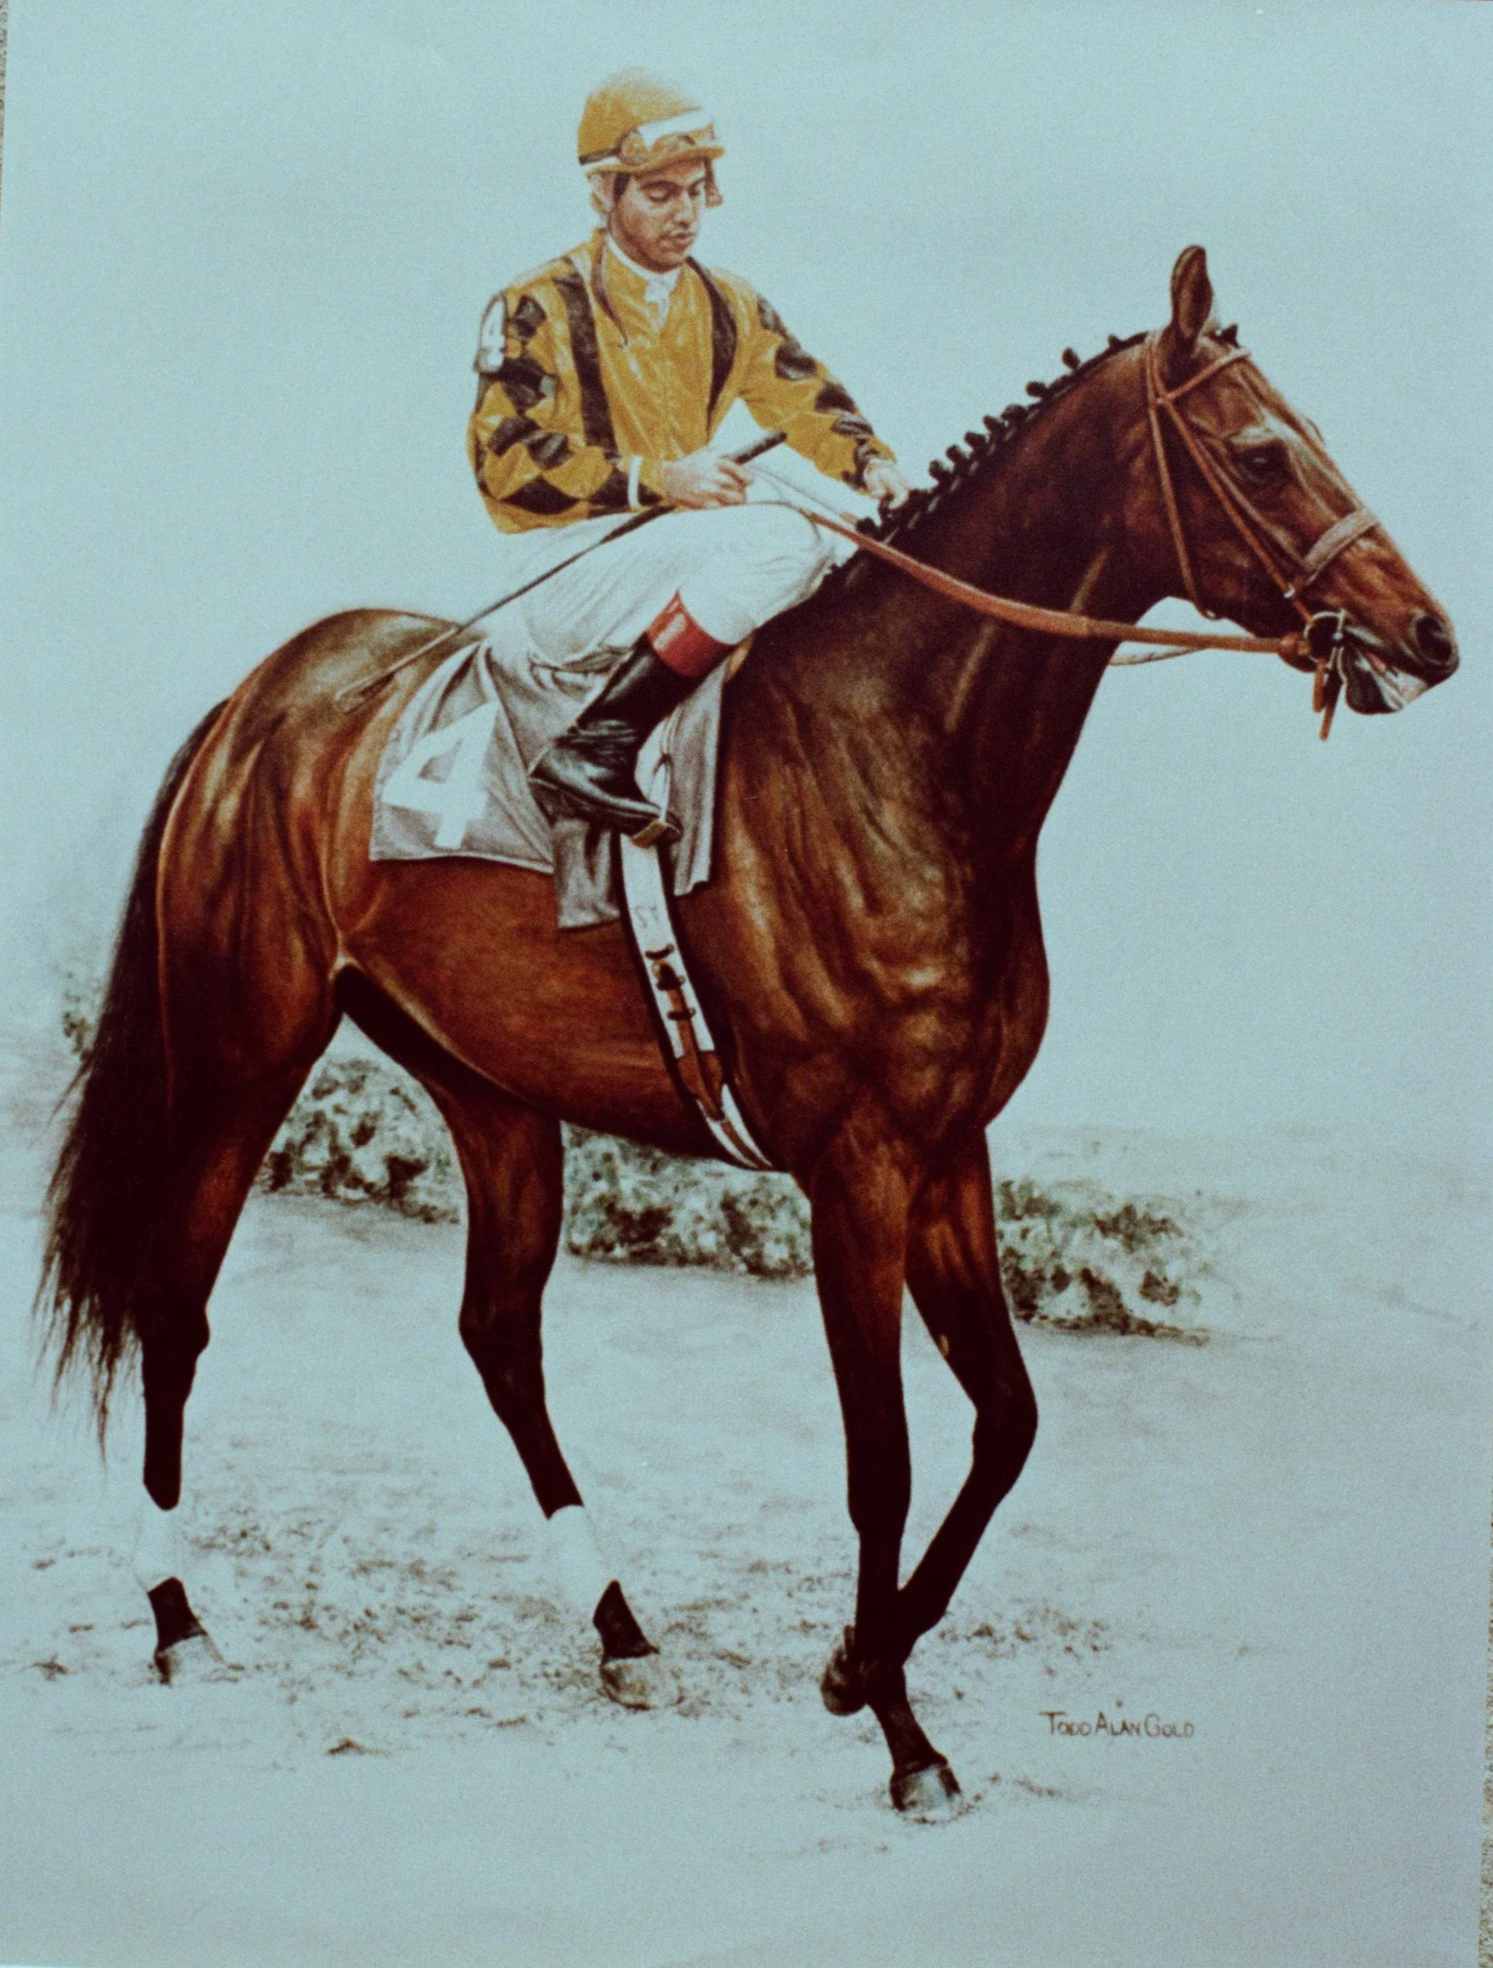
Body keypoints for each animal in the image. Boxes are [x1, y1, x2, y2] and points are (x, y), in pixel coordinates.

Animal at [39, 246, 1457, 1818]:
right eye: (1263, 451)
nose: (1430, 637)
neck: (902, 750)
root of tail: (262, 697)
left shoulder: (951, 1151)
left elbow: (1009, 1421)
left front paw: (857, 1661)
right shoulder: (858, 1170)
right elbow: (881, 1461)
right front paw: (899, 1729)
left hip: (489, 1090)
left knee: (499, 1338)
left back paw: (619, 1632)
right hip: (242, 1054)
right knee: (175, 1304)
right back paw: (176, 1619)